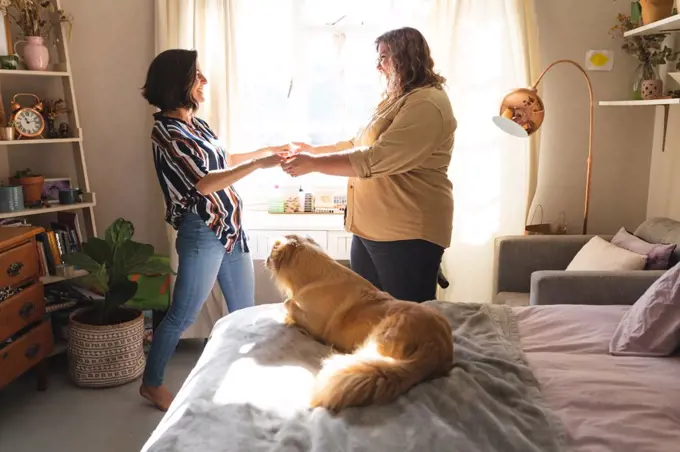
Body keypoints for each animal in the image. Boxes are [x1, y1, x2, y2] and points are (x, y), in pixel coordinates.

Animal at [264, 235, 452, 412]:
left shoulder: (315, 324)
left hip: (381, 336)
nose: (265, 260)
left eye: (271, 251)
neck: (314, 275)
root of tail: (436, 347)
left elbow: (288, 303)